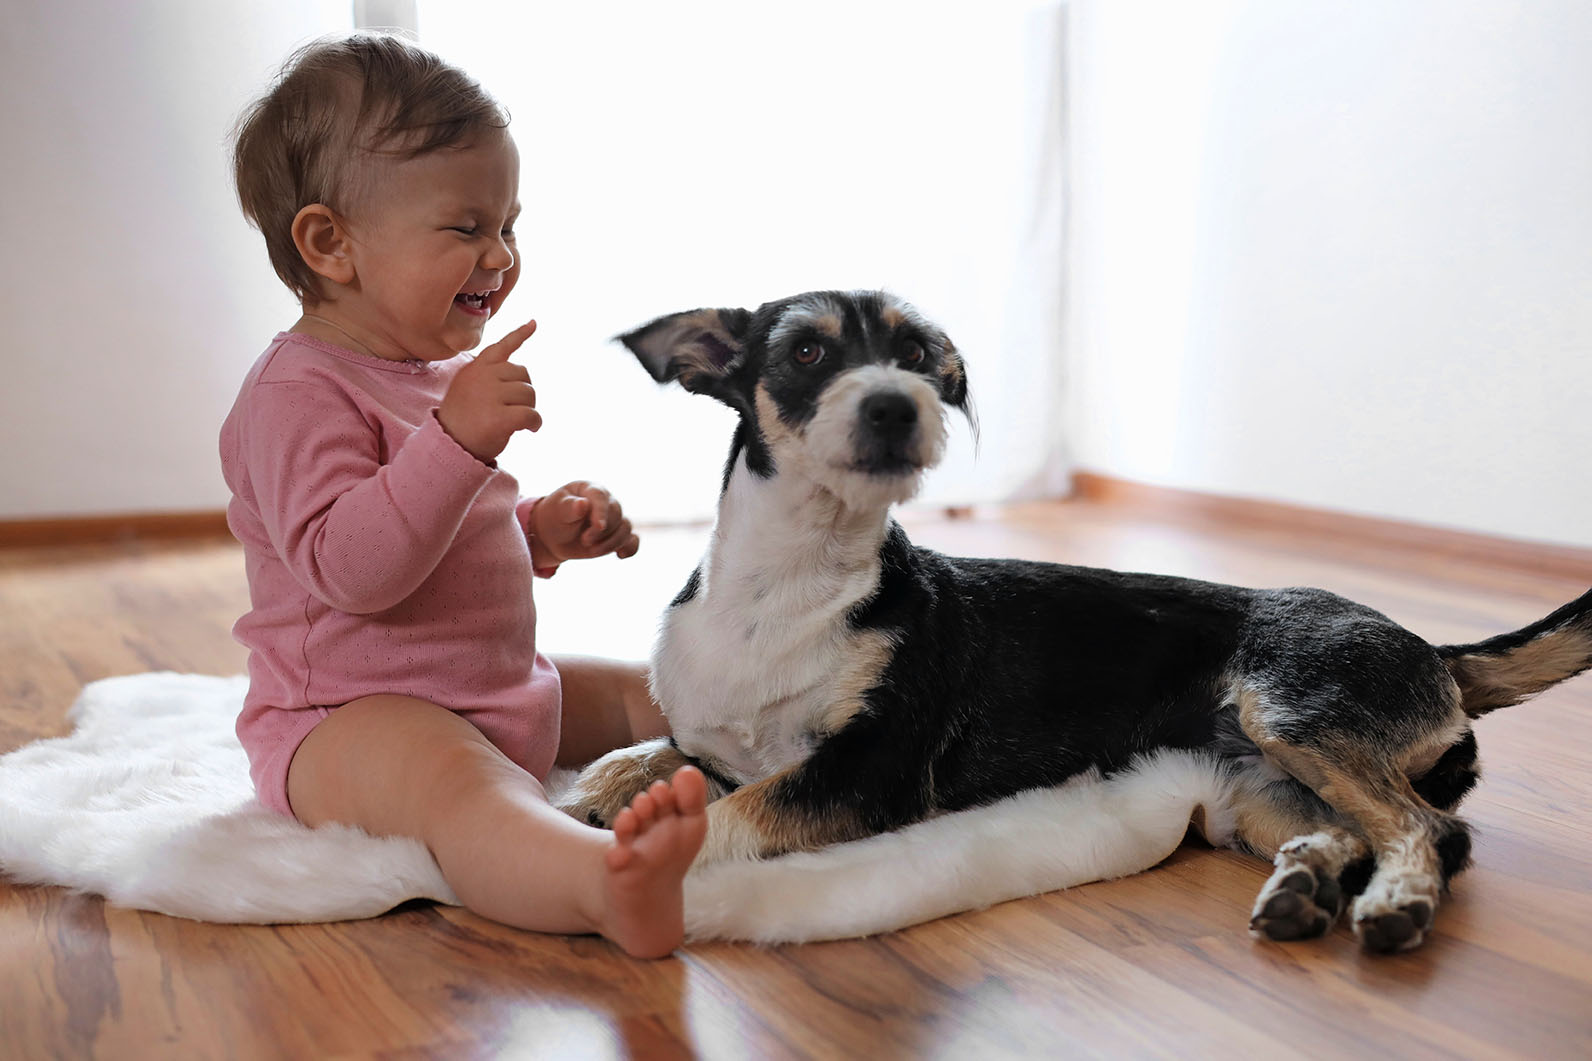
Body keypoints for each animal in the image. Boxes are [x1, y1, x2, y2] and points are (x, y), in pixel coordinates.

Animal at [563, 286, 1592, 949]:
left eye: (920, 359)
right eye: (807, 351)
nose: (900, 405)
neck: (789, 583)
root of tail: (1441, 653)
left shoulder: (864, 775)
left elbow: (727, 818)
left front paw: (623, 850)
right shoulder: (708, 738)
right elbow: (637, 757)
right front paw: (585, 795)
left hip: (1297, 712)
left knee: (1433, 831)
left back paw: (1393, 904)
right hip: (1262, 783)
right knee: (1351, 829)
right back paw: (1306, 887)